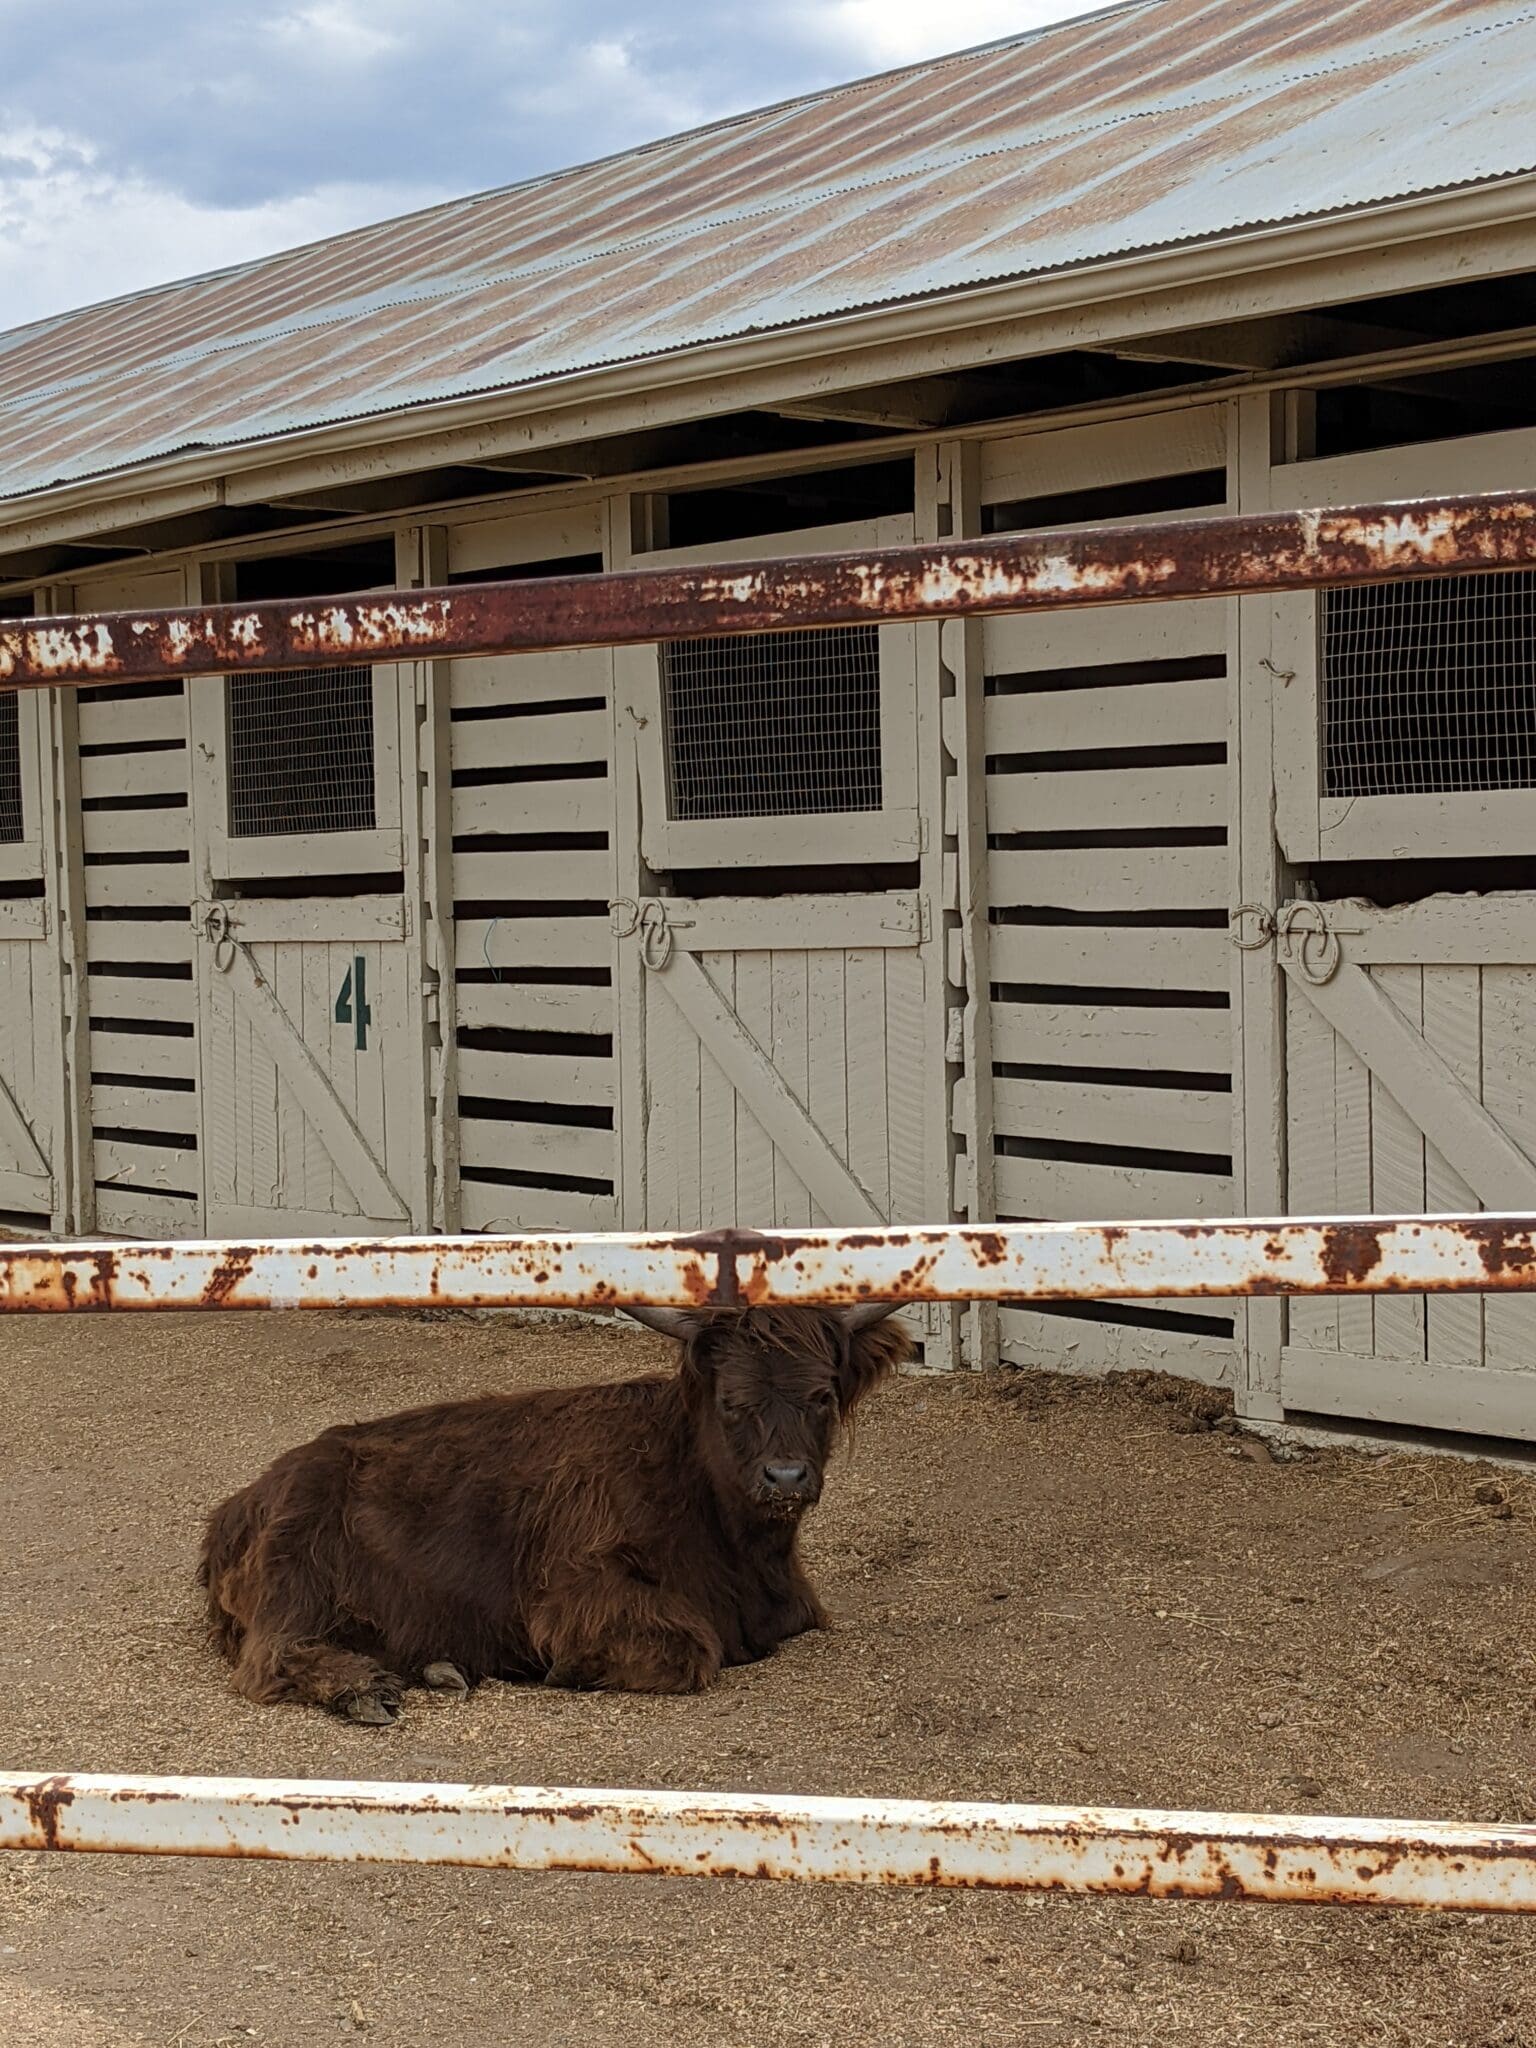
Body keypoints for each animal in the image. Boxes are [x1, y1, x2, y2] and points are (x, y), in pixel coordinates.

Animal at [198, 1302, 909, 1720]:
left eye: (822, 1395)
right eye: (733, 1401)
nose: (785, 1476)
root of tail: (240, 1503)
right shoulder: (575, 1586)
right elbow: (686, 1649)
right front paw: (571, 1670)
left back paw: (437, 1668)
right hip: (296, 1582)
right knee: (271, 1659)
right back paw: (366, 1690)